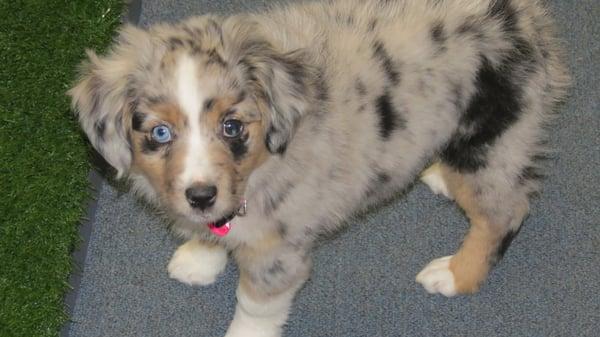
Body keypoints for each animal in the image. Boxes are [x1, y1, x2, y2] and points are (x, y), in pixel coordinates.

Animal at [69, 0, 568, 334]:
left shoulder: (279, 254)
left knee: (506, 209)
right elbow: (214, 231)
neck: (261, 166)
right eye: (159, 133)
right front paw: (199, 259)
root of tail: (521, 13)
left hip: (490, 136)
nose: (200, 196)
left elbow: (254, 307)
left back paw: (454, 274)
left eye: (232, 127)